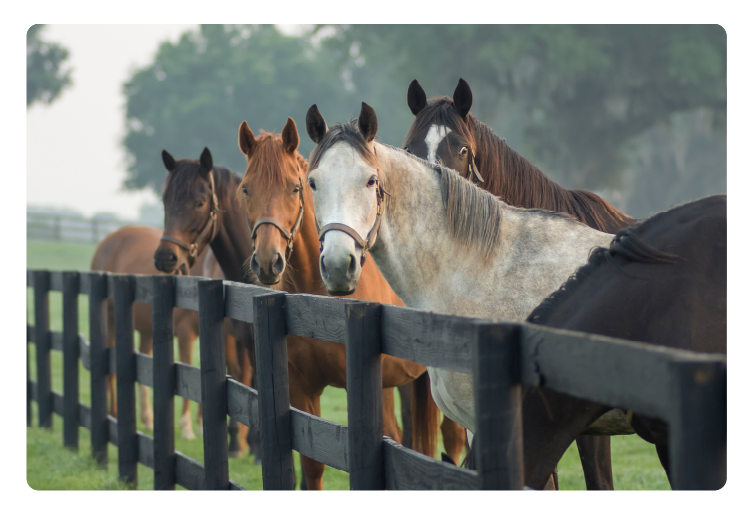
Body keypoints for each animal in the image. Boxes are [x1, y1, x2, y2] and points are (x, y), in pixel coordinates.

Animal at [90, 227, 244, 440]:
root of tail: (109, 238)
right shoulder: (185, 332)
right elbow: (191, 370)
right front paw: (187, 426)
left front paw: (201, 424)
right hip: (110, 318)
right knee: (111, 369)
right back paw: (113, 413)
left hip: (147, 330)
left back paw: (147, 418)